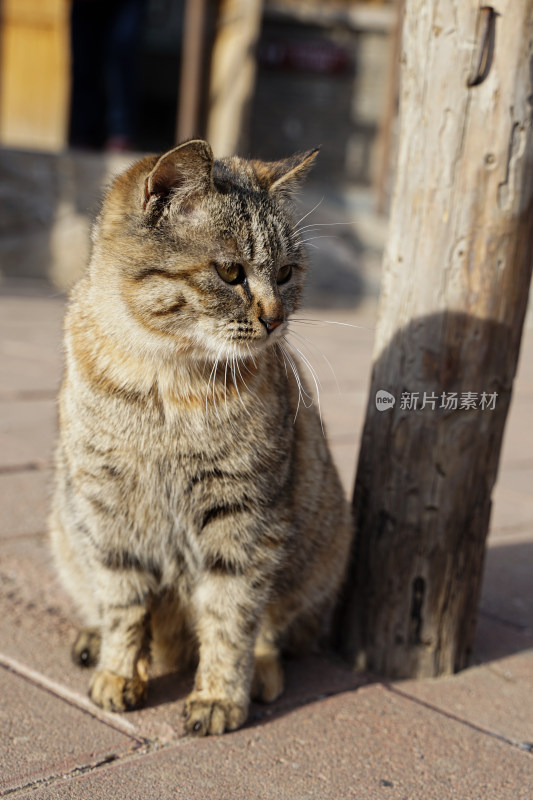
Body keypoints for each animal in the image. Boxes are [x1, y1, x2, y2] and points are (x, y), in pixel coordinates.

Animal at [48, 139, 350, 736]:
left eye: (286, 272)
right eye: (231, 272)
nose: (276, 319)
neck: (165, 382)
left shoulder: (243, 518)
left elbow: (229, 616)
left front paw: (218, 696)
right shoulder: (109, 511)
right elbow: (123, 605)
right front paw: (119, 671)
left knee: (275, 629)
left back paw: (259, 674)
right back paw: (97, 642)